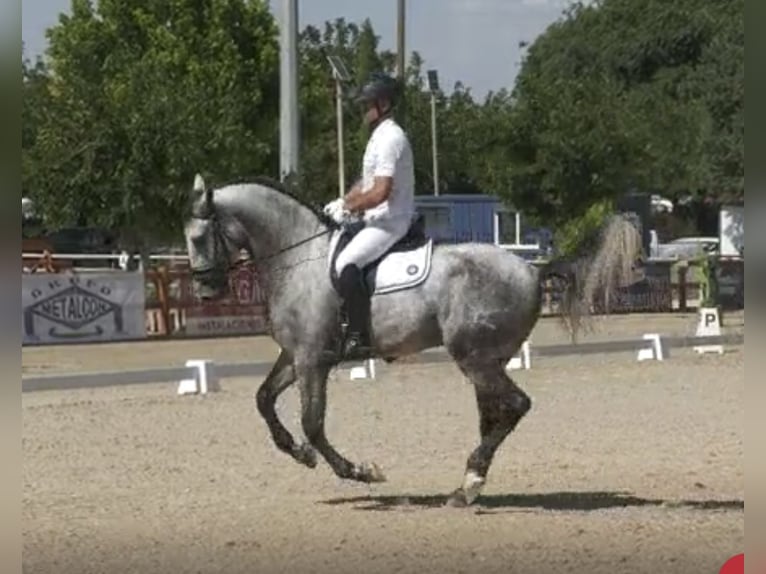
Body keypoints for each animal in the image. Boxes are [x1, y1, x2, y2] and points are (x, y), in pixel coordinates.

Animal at [184, 174, 640, 508]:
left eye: (199, 237)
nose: (205, 291)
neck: (299, 260)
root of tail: (532, 270)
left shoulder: (313, 358)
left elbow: (313, 424)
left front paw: (360, 471)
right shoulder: (296, 354)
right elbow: (263, 399)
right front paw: (300, 453)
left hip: (472, 356)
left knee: (516, 405)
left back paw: (468, 483)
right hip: (487, 359)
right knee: (496, 414)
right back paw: (468, 485)